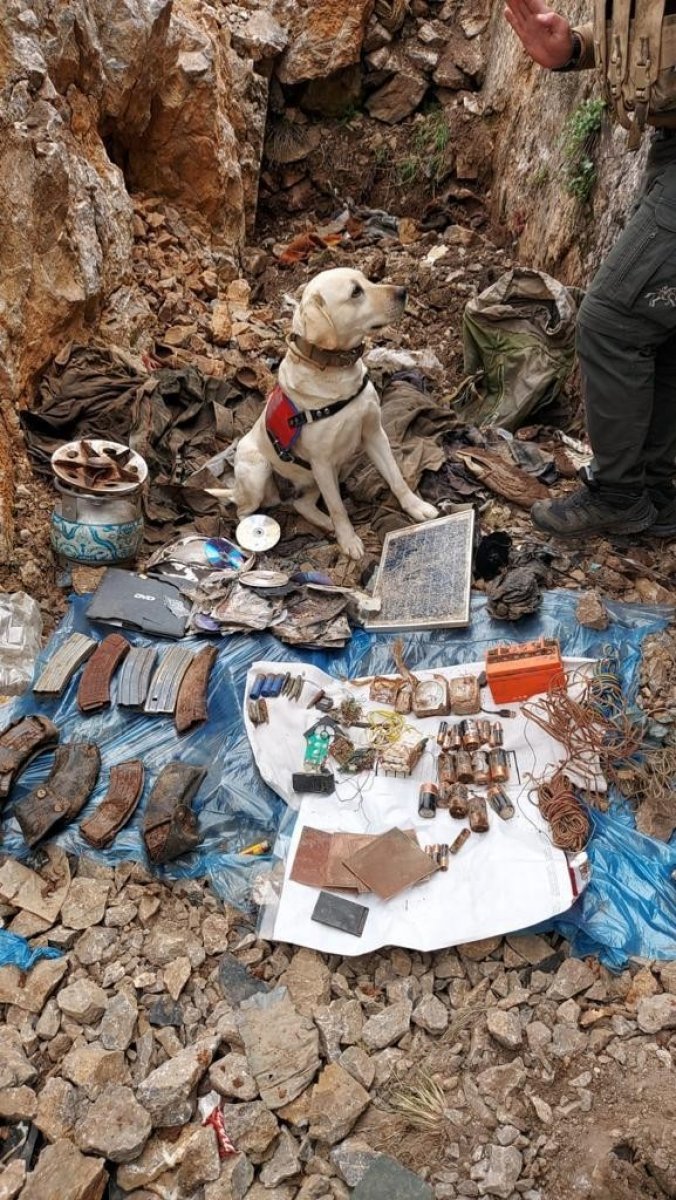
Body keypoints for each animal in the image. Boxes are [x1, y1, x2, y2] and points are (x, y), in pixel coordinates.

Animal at [213, 267, 441, 556]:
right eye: (356, 292)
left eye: (367, 279)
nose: (403, 292)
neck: (335, 373)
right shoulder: (321, 462)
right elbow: (338, 507)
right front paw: (349, 541)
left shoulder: (374, 434)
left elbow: (396, 477)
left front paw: (416, 506)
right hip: (260, 471)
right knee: (244, 511)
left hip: (327, 472)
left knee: (302, 504)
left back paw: (323, 522)